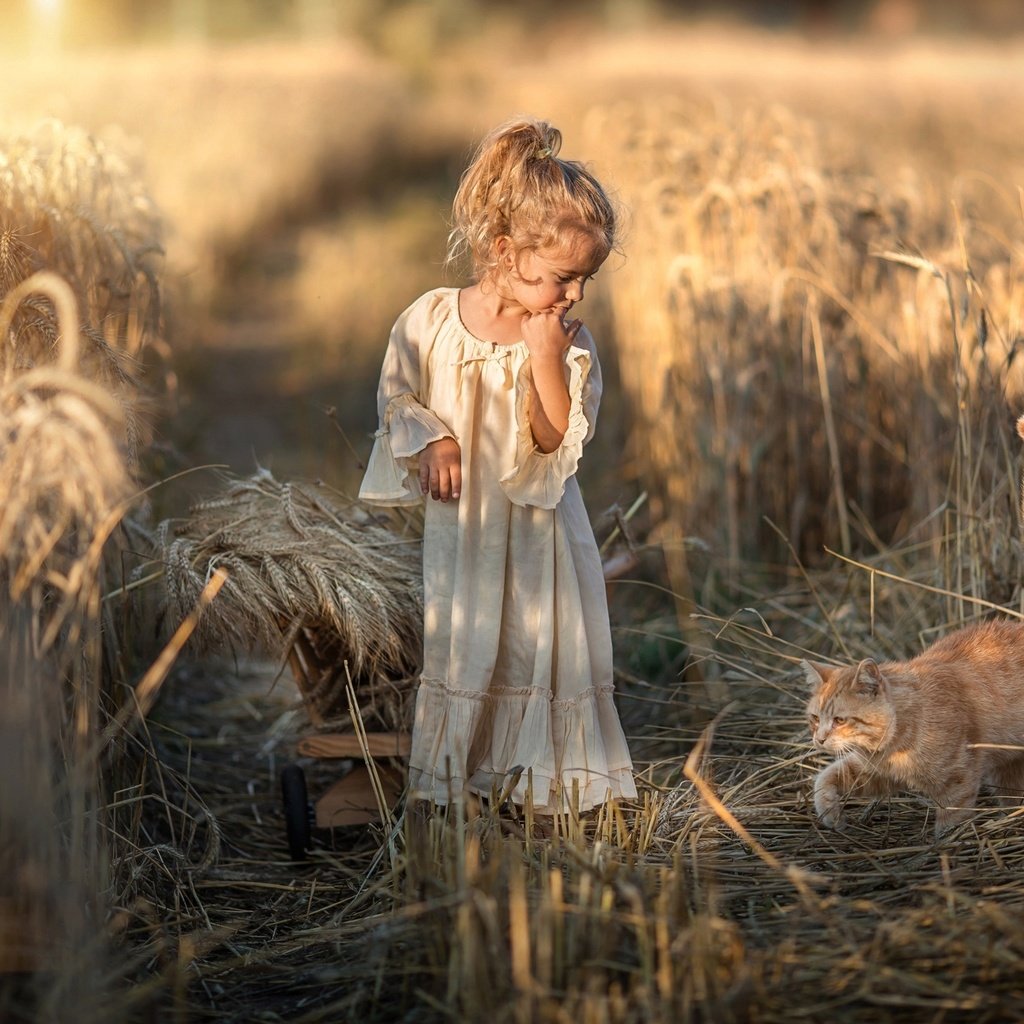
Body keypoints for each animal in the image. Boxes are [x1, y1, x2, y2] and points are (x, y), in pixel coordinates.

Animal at [802, 618, 1024, 835]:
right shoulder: (875, 773)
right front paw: (830, 813)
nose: (819, 740)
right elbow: (825, 778)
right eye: (815, 718)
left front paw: (942, 842)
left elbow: (951, 824)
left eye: (839, 720)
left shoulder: (958, 783)